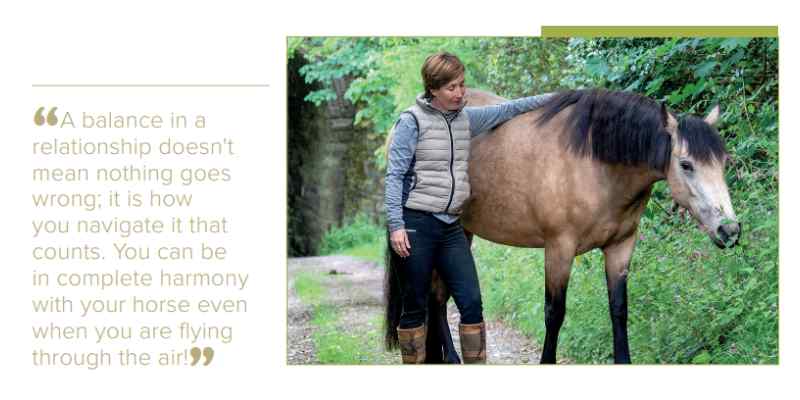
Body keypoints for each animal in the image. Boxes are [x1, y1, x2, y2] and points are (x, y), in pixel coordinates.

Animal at [384, 88, 741, 364]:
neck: (597, 164)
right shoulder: (559, 248)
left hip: (460, 233)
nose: (730, 231)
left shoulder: (621, 246)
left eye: (724, 162)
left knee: (437, 297)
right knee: (435, 298)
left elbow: (619, 309)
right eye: (686, 164)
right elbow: (554, 313)